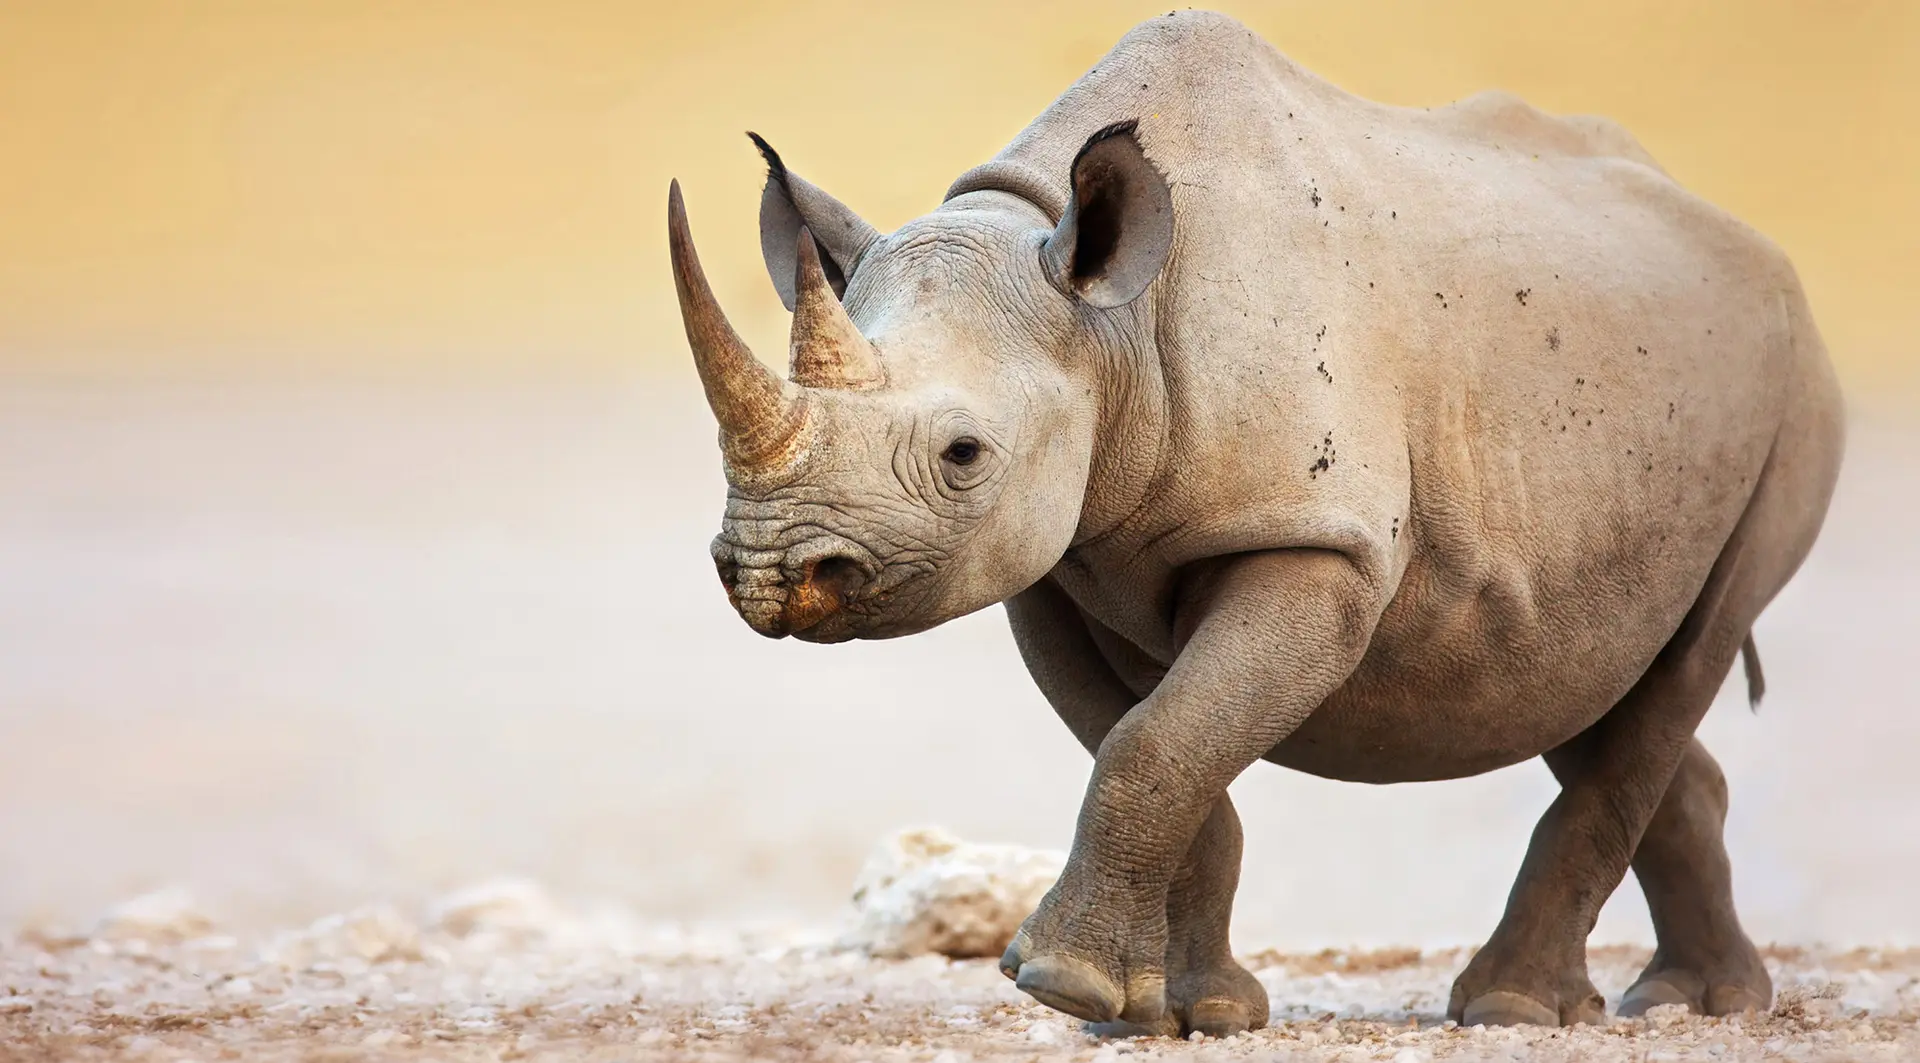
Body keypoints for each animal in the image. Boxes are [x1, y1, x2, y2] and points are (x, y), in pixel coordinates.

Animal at [667, 10, 1844, 1037]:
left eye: (963, 455)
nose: (771, 572)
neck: (1107, 323)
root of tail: (1753, 245)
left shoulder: (1317, 540)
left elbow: (1158, 740)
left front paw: (1059, 984)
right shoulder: (1054, 563)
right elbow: (1161, 744)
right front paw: (1174, 1013)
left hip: (1792, 394)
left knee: (1688, 651)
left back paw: (1518, 1009)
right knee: (1587, 672)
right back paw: (1695, 1001)